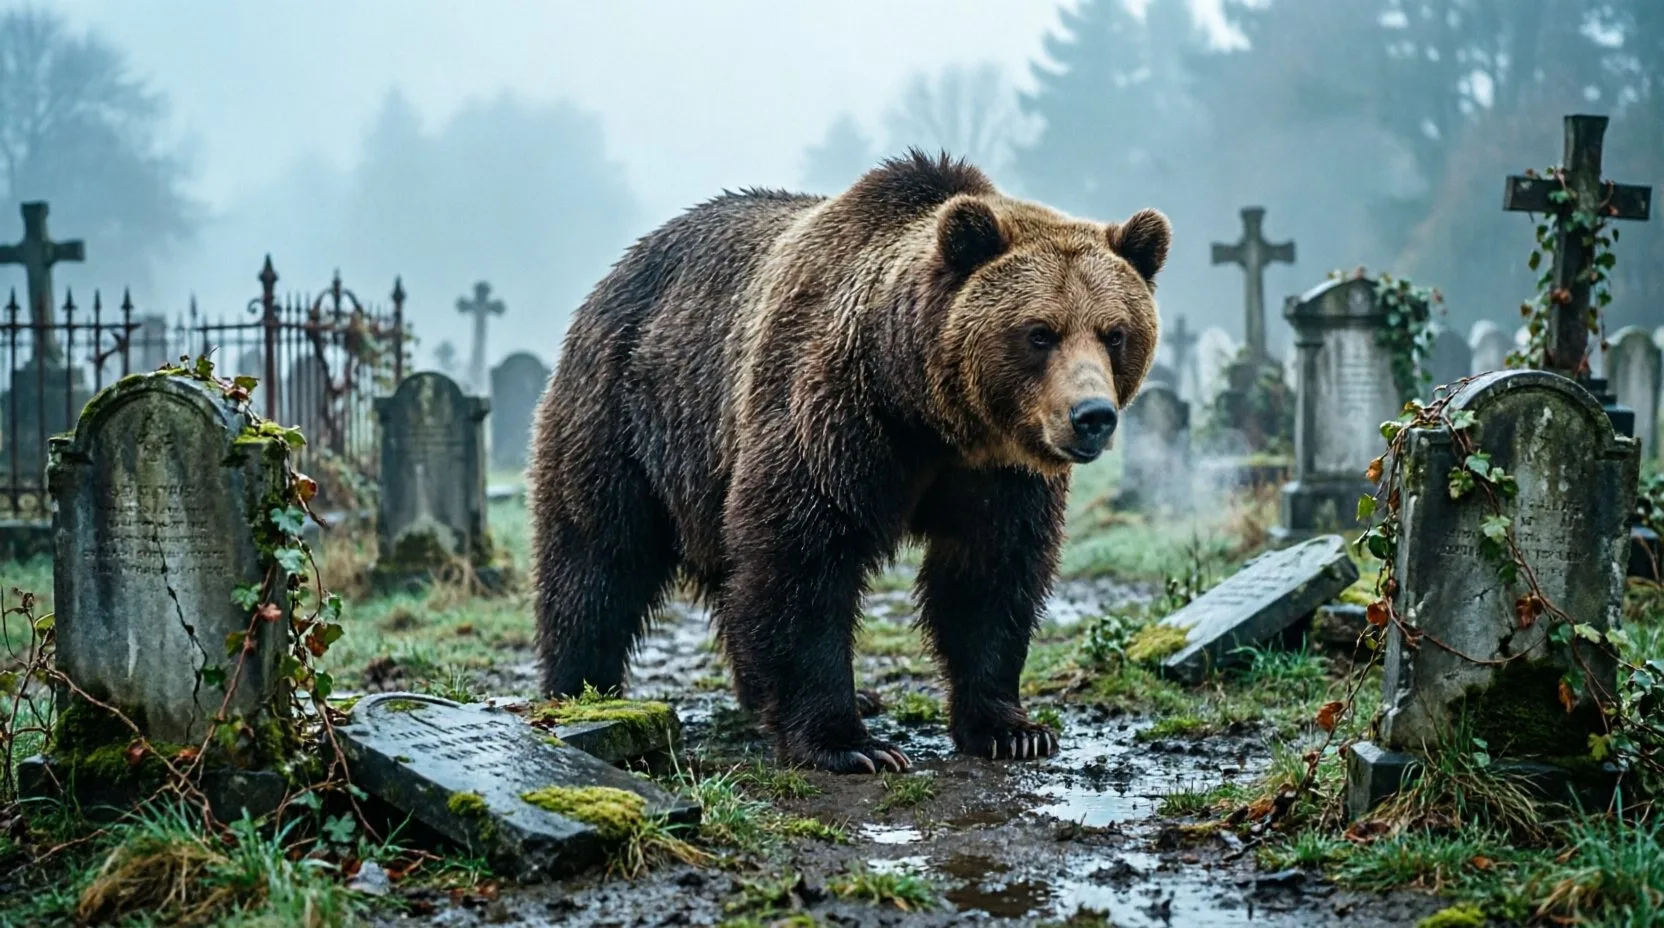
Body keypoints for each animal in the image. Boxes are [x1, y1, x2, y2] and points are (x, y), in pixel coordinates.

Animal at [528, 149, 1168, 774]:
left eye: (1114, 332)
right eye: (1040, 332)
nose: (1091, 416)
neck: (928, 411)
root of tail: (622, 267)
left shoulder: (998, 472)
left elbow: (991, 572)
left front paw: (1012, 729)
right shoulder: (833, 417)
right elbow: (800, 558)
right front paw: (849, 742)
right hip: (629, 411)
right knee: (598, 555)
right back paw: (584, 691)